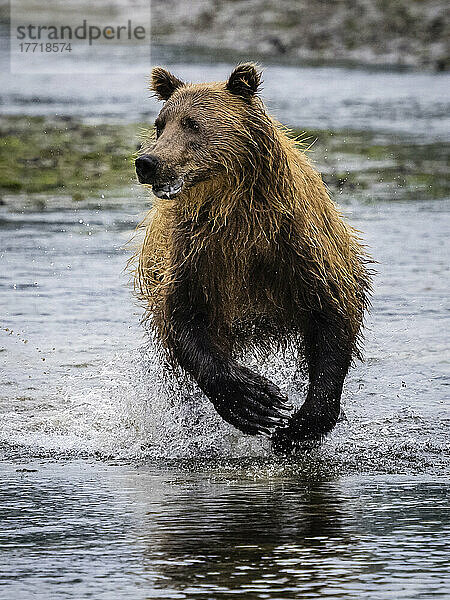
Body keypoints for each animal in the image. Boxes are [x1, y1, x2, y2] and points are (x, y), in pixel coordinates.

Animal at [134, 63, 372, 452]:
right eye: (160, 123)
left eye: (192, 123)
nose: (147, 162)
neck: (237, 212)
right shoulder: (196, 257)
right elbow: (183, 319)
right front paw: (253, 401)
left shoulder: (298, 249)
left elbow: (334, 316)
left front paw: (298, 427)